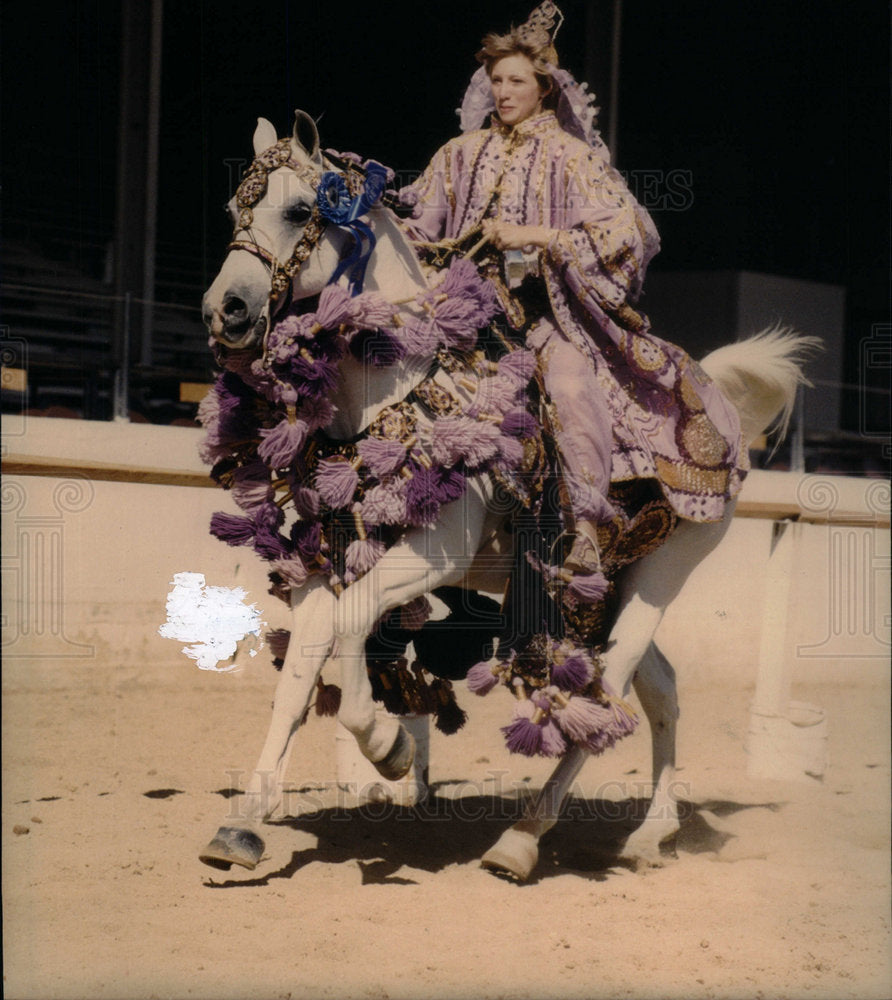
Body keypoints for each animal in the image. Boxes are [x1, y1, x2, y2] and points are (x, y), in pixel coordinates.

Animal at [199, 107, 812, 876]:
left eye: (298, 210)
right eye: (234, 209)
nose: (225, 310)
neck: (397, 391)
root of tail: (719, 403)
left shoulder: (437, 552)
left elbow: (350, 627)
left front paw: (387, 748)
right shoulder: (331, 558)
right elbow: (306, 661)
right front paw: (242, 825)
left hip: (661, 576)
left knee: (609, 690)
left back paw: (521, 839)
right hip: (609, 586)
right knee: (660, 691)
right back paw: (650, 834)